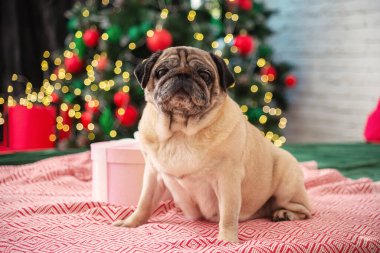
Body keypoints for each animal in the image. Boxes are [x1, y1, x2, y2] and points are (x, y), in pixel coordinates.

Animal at [113, 46, 312, 243]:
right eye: (161, 72)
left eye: (205, 75)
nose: (183, 75)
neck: (181, 131)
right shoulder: (153, 174)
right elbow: (144, 202)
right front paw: (131, 222)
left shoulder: (228, 179)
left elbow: (228, 215)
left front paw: (227, 240)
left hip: (287, 183)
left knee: (305, 211)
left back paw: (284, 214)